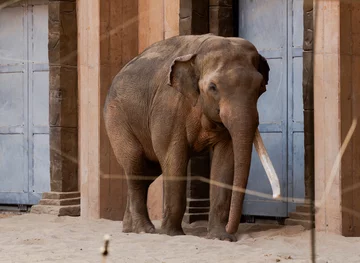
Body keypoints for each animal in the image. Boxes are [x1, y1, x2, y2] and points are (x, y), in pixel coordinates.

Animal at [104, 33, 276, 243]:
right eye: (213, 87)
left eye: (260, 87)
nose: (232, 231)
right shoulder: (169, 107)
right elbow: (174, 157)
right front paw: (172, 234)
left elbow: (226, 159)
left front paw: (220, 237)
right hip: (117, 118)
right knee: (135, 164)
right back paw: (145, 230)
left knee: (148, 171)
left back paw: (129, 229)